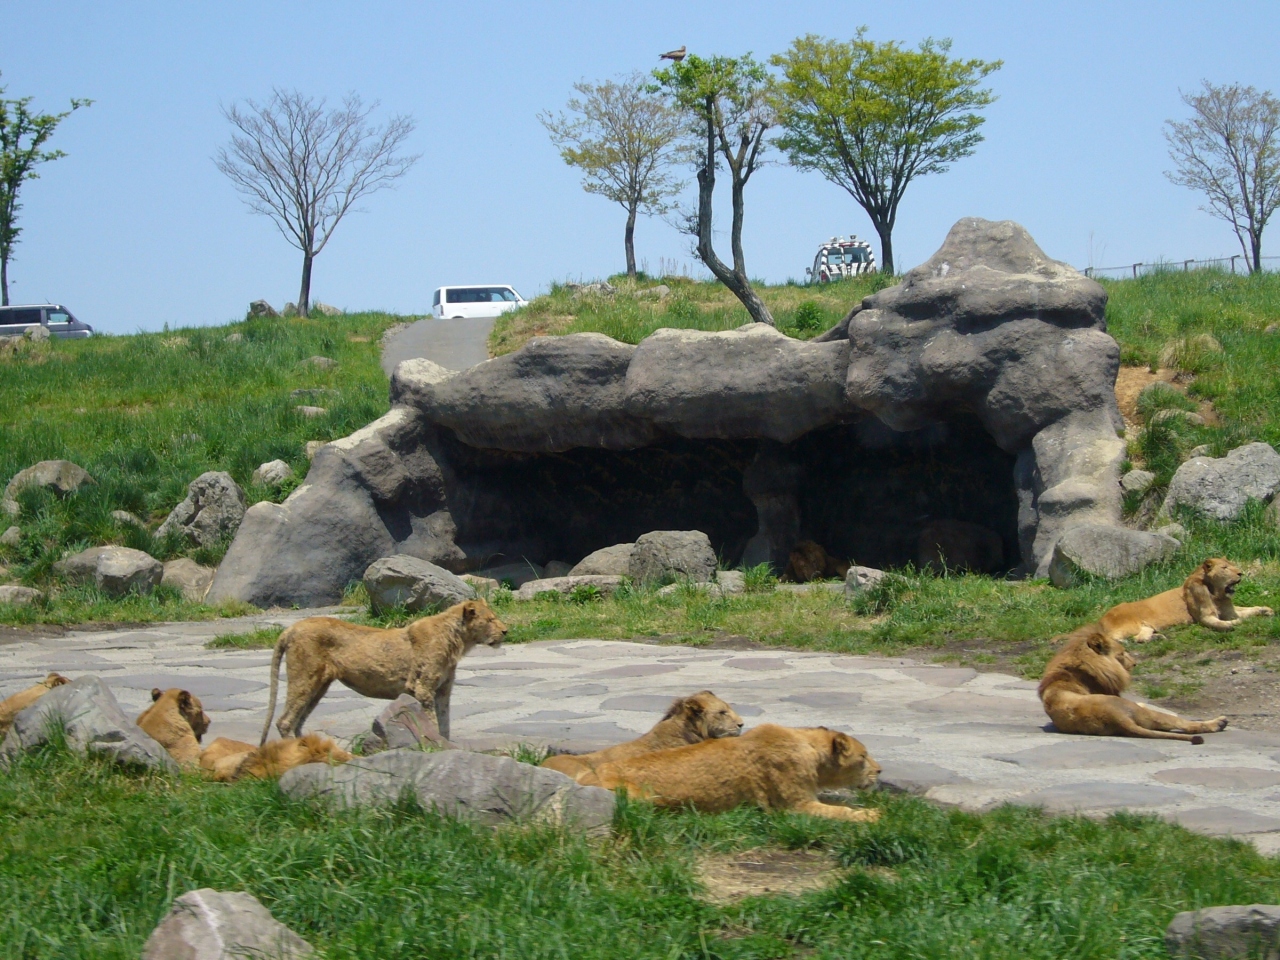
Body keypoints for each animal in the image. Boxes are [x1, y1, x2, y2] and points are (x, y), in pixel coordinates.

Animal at [259, 599, 504, 747]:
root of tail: (290, 628)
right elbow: (432, 721)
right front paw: (435, 746)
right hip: (304, 677)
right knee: (285, 721)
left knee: (298, 721)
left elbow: (444, 722)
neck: (459, 641)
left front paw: (446, 744)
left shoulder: (443, 690)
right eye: (490, 619)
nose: (505, 631)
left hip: (319, 685)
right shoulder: (423, 688)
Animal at [586, 727, 885, 824]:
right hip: (637, 799)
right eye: (863, 756)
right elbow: (840, 812)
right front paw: (874, 815)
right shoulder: (794, 808)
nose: (880, 771)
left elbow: (837, 804)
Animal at [1034, 624, 1223, 742]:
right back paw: (1219, 722)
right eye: (1122, 654)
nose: (1135, 664)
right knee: (1185, 723)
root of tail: (1117, 718)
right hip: (1140, 711)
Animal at [1100, 555, 1269, 647]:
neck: (1216, 594)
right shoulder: (1205, 617)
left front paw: (1265, 610)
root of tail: (1101, 620)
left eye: (1232, 566)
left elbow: (1247, 609)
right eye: (1225, 568)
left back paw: (1158, 637)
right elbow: (1224, 622)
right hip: (1129, 625)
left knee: (1139, 638)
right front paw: (1233, 624)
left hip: (1146, 627)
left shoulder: (1229, 611)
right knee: (1115, 638)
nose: (1240, 573)